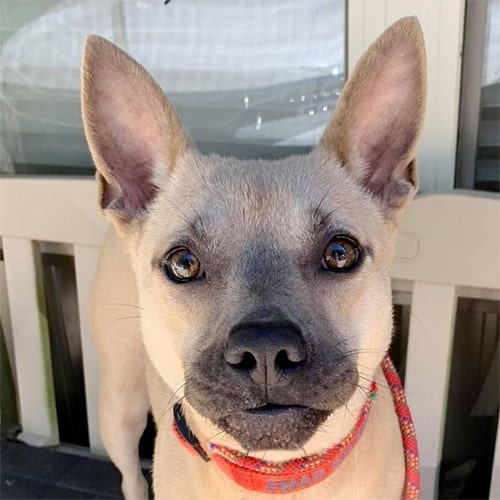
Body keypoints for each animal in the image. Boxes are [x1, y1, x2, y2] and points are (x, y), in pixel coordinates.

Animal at [82, 16, 426, 500]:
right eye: (183, 264)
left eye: (340, 253)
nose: (265, 349)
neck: (278, 478)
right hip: (120, 406)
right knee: (130, 472)